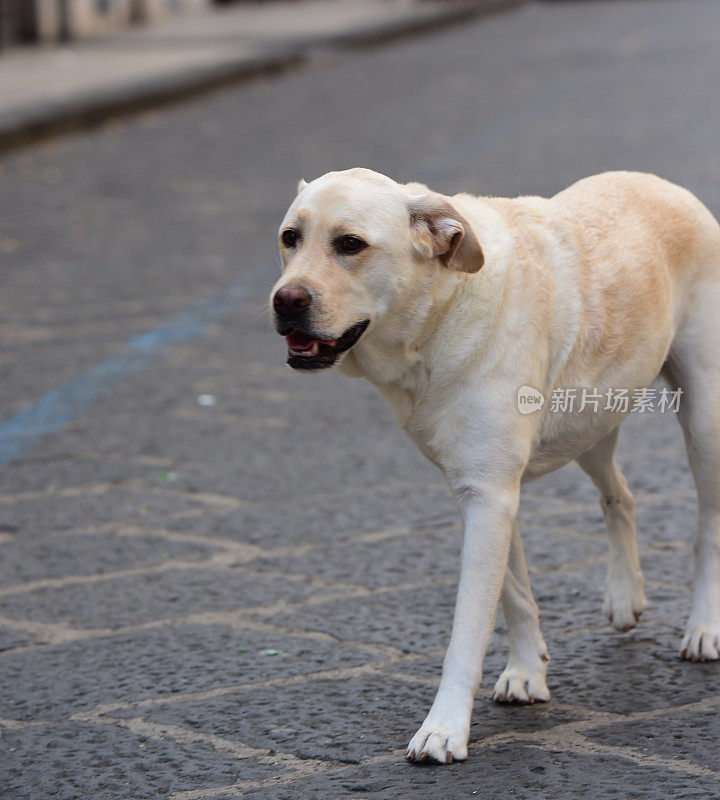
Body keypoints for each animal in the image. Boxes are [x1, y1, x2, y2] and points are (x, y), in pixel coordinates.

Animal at [268, 167, 720, 764]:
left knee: (707, 528)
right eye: (290, 238)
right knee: (620, 495)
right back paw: (626, 596)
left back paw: (704, 627)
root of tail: (660, 181)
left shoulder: (489, 496)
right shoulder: (480, 492)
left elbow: (467, 630)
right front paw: (528, 673)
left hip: (703, 422)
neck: (438, 318)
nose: (284, 300)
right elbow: (515, 597)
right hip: (592, 427)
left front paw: (443, 730)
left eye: (350, 244)